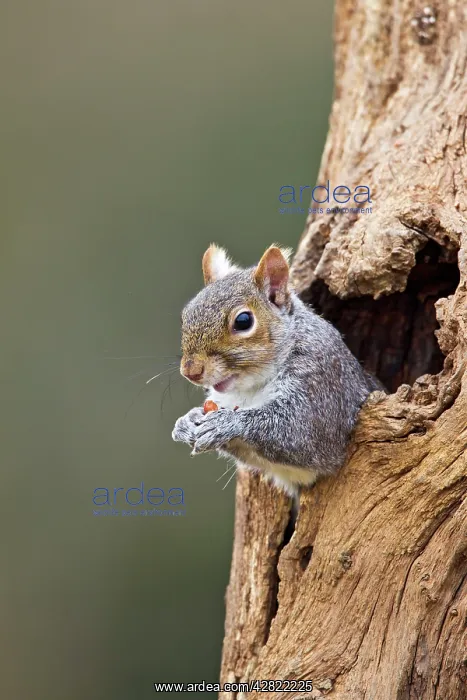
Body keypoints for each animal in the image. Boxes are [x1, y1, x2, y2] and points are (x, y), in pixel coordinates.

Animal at [172, 244, 382, 495]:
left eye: (243, 321)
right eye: (186, 315)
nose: (190, 371)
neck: (252, 387)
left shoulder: (321, 385)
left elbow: (298, 432)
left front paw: (227, 423)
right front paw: (186, 421)